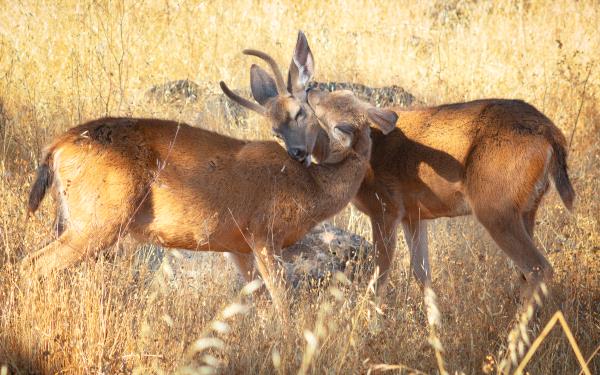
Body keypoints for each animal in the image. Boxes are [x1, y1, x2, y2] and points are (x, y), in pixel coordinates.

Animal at [21, 31, 398, 314]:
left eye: (300, 114)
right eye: (277, 127)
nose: (298, 153)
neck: (311, 188)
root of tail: (57, 147)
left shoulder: (238, 246)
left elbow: (260, 301)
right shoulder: (264, 233)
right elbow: (283, 302)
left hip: (72, 218)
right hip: (98, 219)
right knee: (33, 265)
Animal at [274, 37, 576, 302]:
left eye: (331, 114)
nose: (311, 90)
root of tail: (551, 133)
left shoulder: (386, 210)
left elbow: (380, 278)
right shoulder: (413, 215)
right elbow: (423, 275)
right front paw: (435, 329)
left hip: (495, 207)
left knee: (538, 268)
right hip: (526, 208)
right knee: (526, 272)